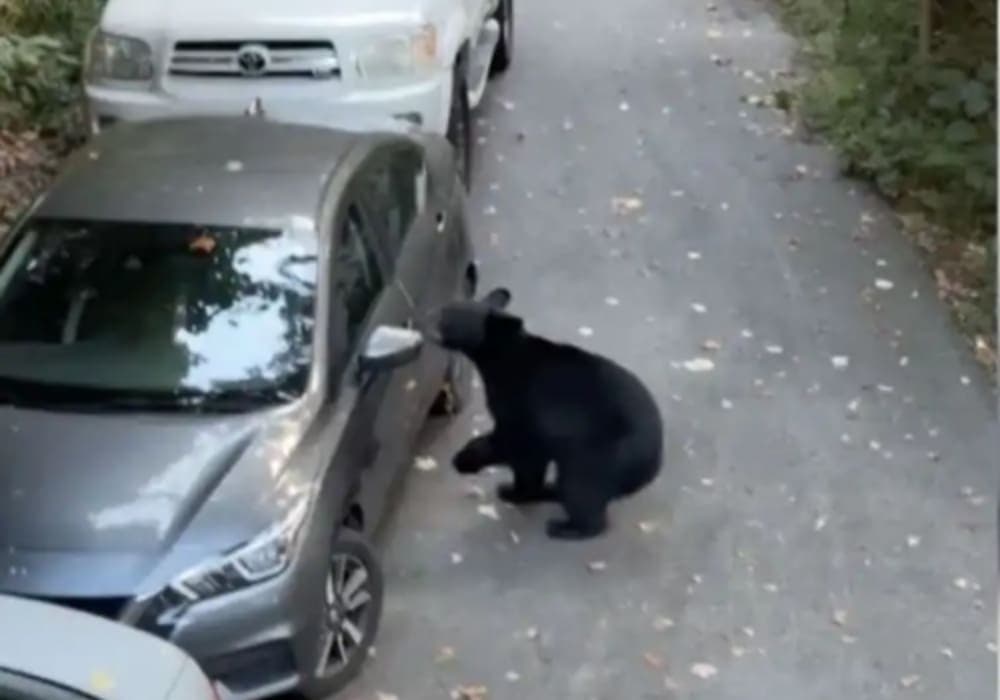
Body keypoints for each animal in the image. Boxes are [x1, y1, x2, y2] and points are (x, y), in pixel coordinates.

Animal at [429, 287, 664, 540]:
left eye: (449, 314)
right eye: (446, 307)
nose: (429, 314)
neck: (502, 357)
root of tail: (653, 463)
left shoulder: (524, 404)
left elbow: (517, 445)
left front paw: (472, 464)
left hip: (600, 454)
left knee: (581, 486)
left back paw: (567, 527)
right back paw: (552, 491)